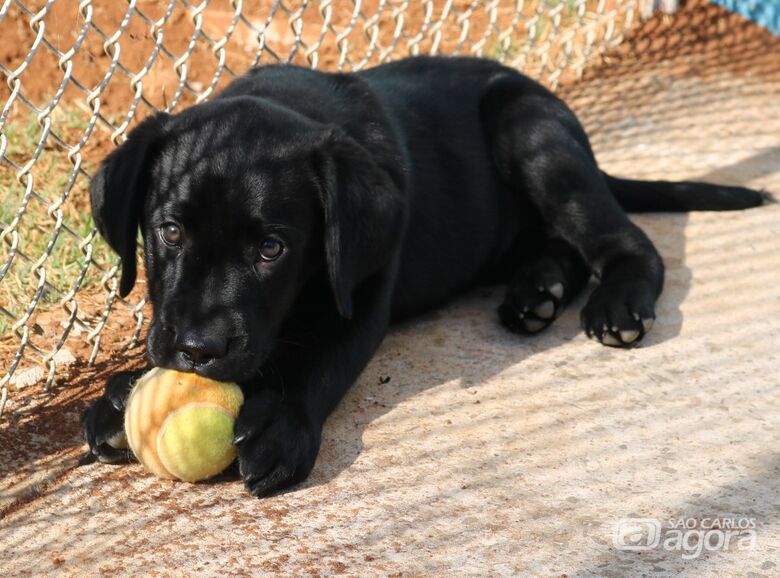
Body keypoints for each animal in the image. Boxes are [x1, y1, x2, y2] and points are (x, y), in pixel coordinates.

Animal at [82, 56, 764, 492]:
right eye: (170, 232)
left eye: (272, 249)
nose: (198, 351)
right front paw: (125, 396)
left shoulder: (362, 294)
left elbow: (319, 361)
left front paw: (279, 422)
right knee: (561, 245)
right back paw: (536, 294)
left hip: (531, 133)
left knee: (627, 241)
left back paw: (618, 304)